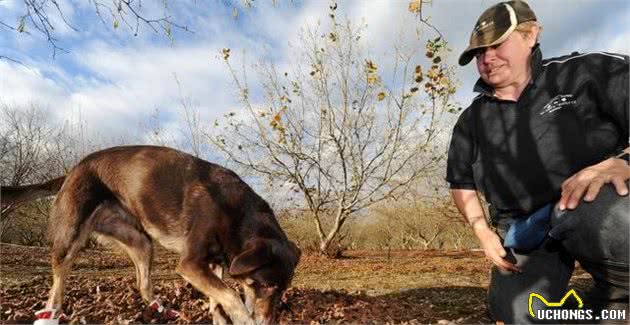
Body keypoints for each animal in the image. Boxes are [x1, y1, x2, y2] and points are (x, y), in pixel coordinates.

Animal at [0, 145, 302, 324]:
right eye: (268, 286)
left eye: (283, 289)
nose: (270, 321)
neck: (237, 214)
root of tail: (70, 172)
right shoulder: (190, 264)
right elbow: (229, 295)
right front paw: (244, 320)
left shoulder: (213, 263)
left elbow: (219, 298)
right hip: (71, 238)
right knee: (57, 284)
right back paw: (50, 316)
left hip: (140, 242)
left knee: (143, 285)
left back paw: (163, 310)